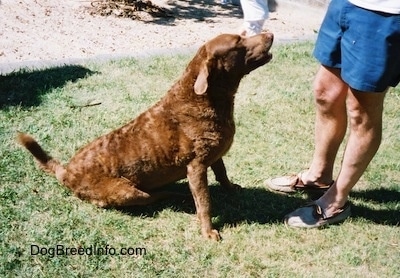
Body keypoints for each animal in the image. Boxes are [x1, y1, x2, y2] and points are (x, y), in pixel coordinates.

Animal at [17, 32, 274, 240]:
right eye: (238, 42)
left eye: (241, 35)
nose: (270, 33)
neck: (205, 98)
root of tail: (66, 171)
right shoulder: (196, 167)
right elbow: (204, 203)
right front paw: (208, 231)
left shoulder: (214, 154)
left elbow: (222, 172)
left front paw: (231, 188)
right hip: (126, 192)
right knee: (148, 197)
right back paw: (173, 194)